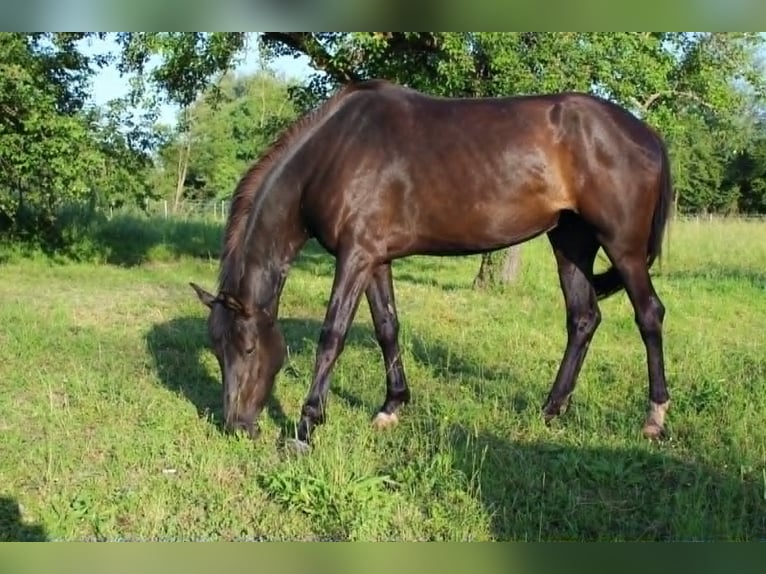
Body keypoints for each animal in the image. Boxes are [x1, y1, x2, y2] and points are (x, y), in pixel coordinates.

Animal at [190, 78, 674, 451]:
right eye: (216, 349)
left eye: (247, 348)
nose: (237, 426)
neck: (333, 153)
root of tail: (646, 133)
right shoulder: (375, 259)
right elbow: (387, 327)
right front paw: (391, 407)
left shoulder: (355, 256)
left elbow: (332, 336)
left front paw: (306, 428)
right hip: (570, 242)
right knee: (583, 318)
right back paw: (552, 410)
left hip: (623, 247)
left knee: (649, 314)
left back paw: (654, 418)